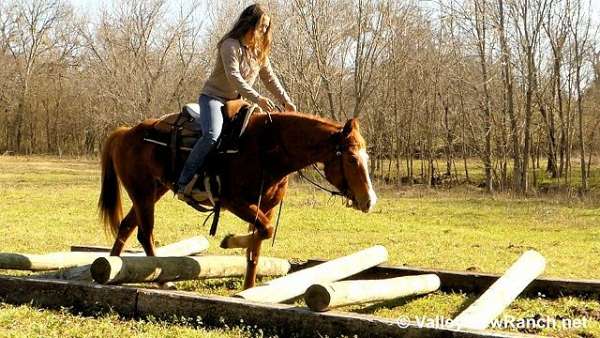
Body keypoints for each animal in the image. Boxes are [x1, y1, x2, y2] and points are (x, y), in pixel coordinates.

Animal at [100, 112, 378, 290]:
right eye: (352, 158)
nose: (369, 201)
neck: (267, 149)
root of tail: (125, 132)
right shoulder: (236, 202)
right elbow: (265, 231)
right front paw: (228, 240)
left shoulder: (265, 207)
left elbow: (256, 246)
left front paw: (248, 288)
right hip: (143, 193)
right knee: (144, 234)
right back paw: (161, 279)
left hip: (152, 192)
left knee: (126, 227)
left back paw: (108, 268)